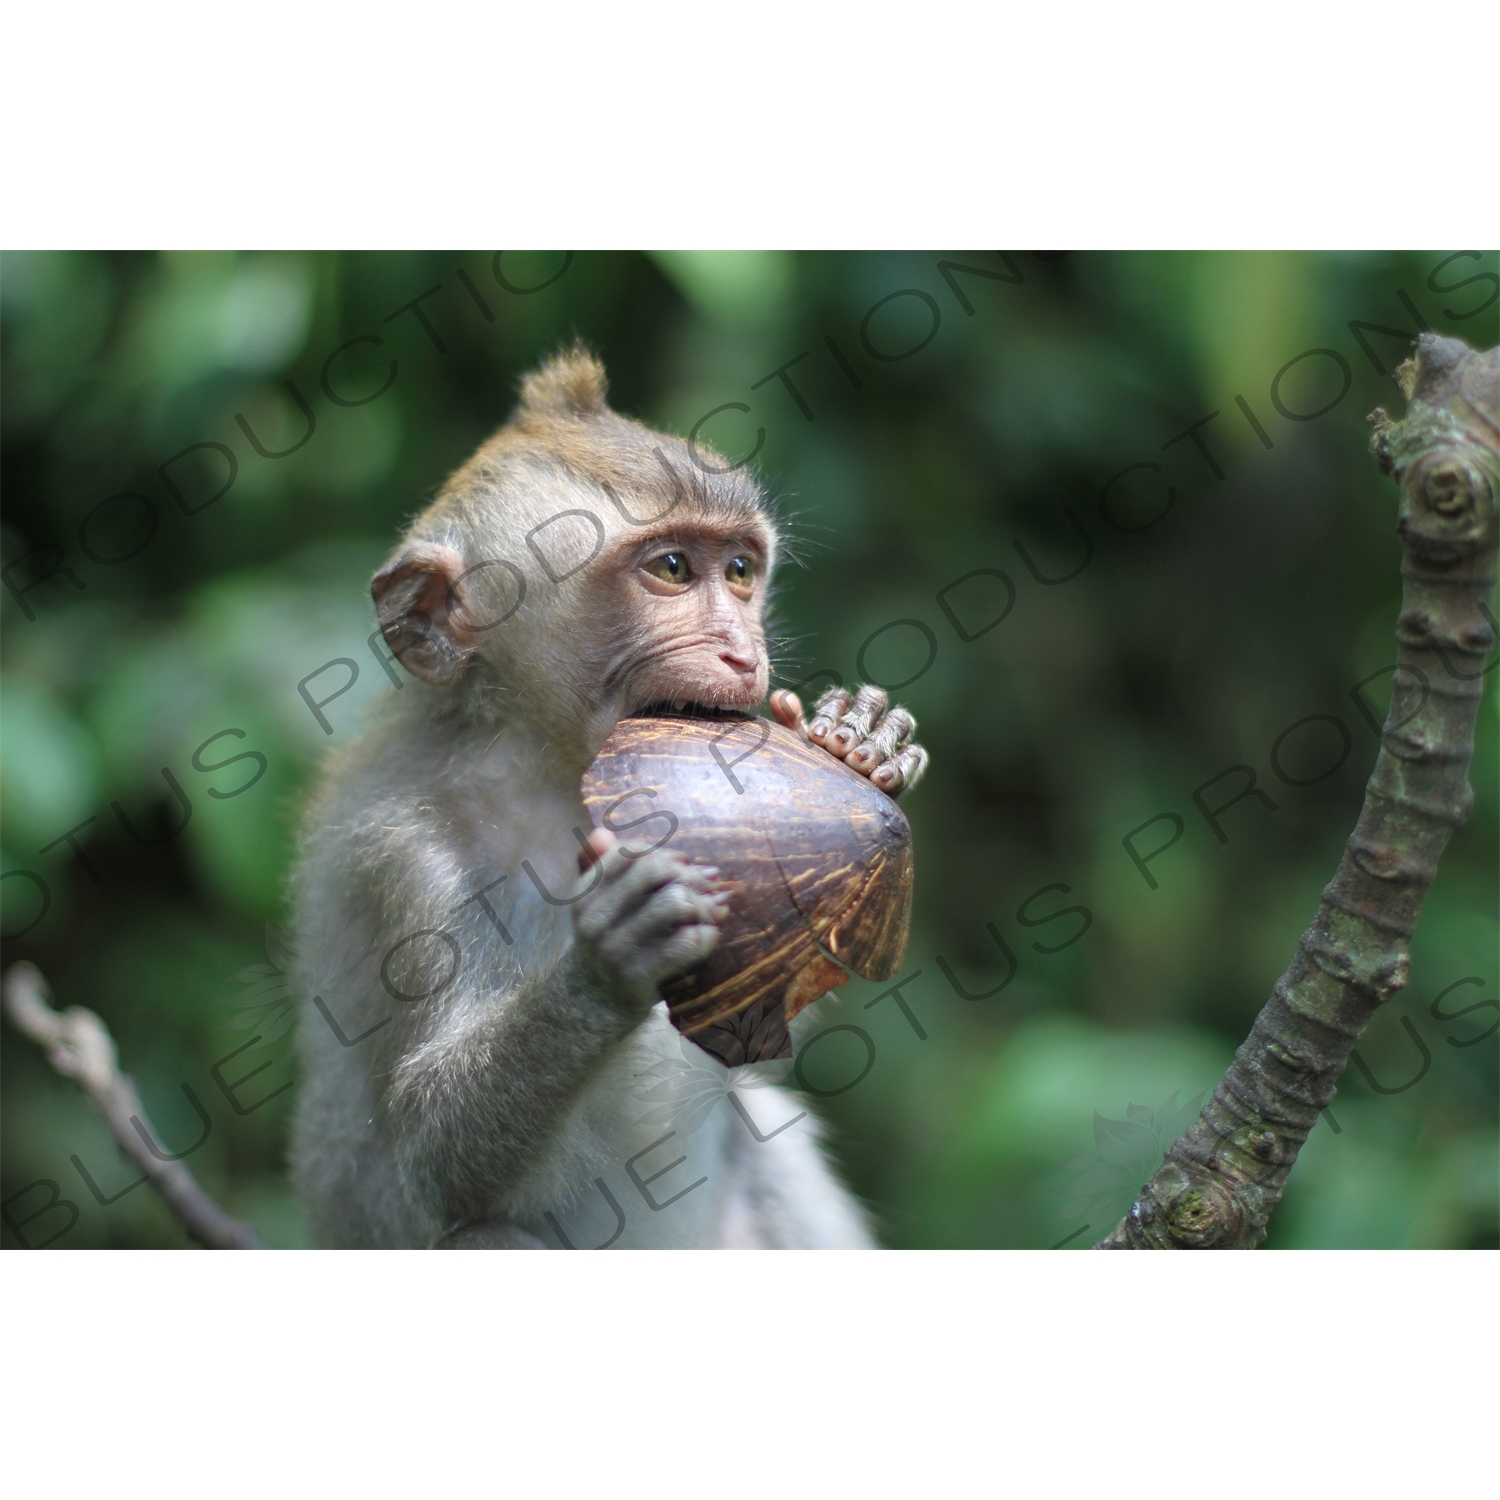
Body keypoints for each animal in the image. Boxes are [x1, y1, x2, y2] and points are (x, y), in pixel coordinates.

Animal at [283, 345, 924, 1248]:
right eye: (671, 569)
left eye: (739, 571)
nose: (742, 652)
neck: (551, 775)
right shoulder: (403, 858)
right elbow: (433, 1162)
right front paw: (610, 959)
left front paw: (857, 740)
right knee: (486, 1235)